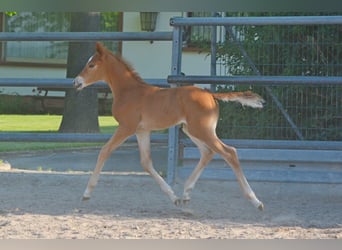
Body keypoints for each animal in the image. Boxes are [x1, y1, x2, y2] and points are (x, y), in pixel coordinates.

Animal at [73, 42, 264, 210]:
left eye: (91, 65)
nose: (76, 82)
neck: (129, 92)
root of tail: (210, 94)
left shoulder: (126, 127)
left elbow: (104, 151)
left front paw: (86, 194)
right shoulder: (142, 130)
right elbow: (146, 162)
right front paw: (174, 197)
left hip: (201, 130)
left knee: (229, 152)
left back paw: (255, 201)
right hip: (192, 129)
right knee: (208, 152)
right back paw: (186, 194)